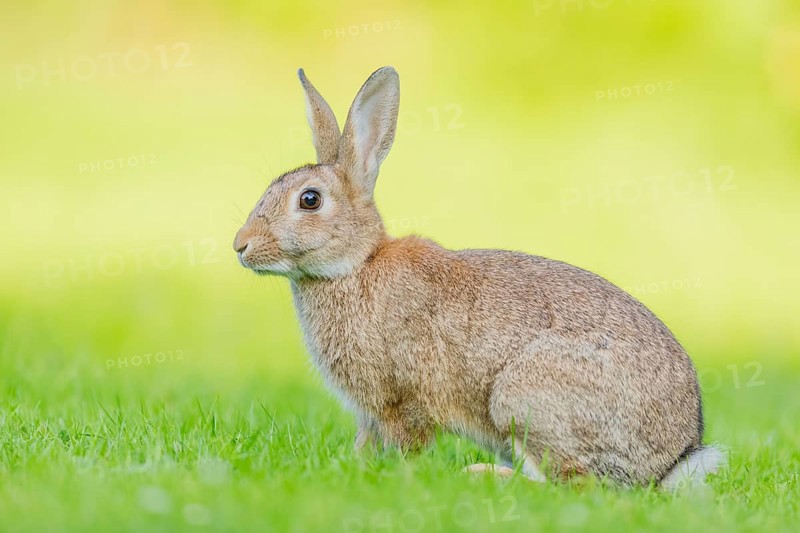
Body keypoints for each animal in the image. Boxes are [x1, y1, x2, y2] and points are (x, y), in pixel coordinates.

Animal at [233, 66, 726, 489]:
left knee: (569, 482)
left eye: (310, 200)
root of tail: (672, 460)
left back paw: (481, 474)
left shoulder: (403, 399)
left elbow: (407, 442)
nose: (240, 245)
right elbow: (365, 442)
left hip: (522, 397)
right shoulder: (370, 413)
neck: (357, 264)